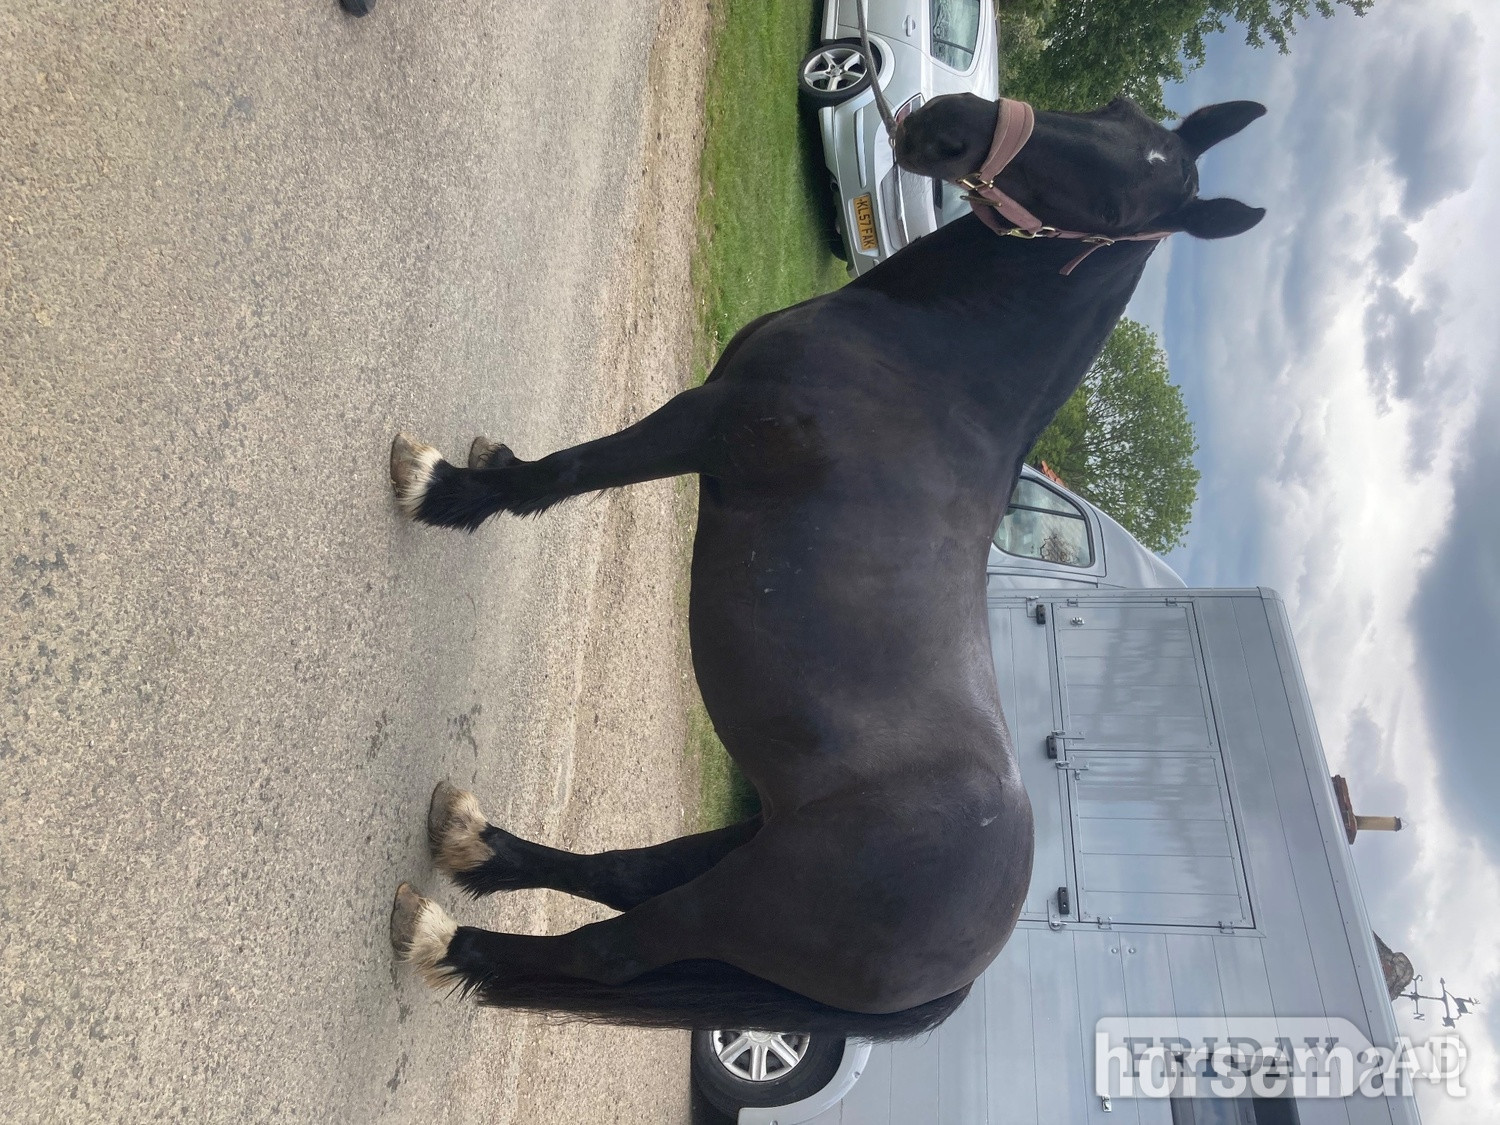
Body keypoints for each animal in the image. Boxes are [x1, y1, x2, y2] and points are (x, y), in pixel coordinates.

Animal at [386, 91, 1266, 1040]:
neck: (935, 368)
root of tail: (970, 961)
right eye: (1115, 109)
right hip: (746, 842)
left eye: (1116, 207)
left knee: (608, 949)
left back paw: (446, 937)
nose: (950, 122)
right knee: (622, 875)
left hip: (736, 904)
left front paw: (444, 490)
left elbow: (567, 472)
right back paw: (477, 845)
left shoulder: (706, 420)